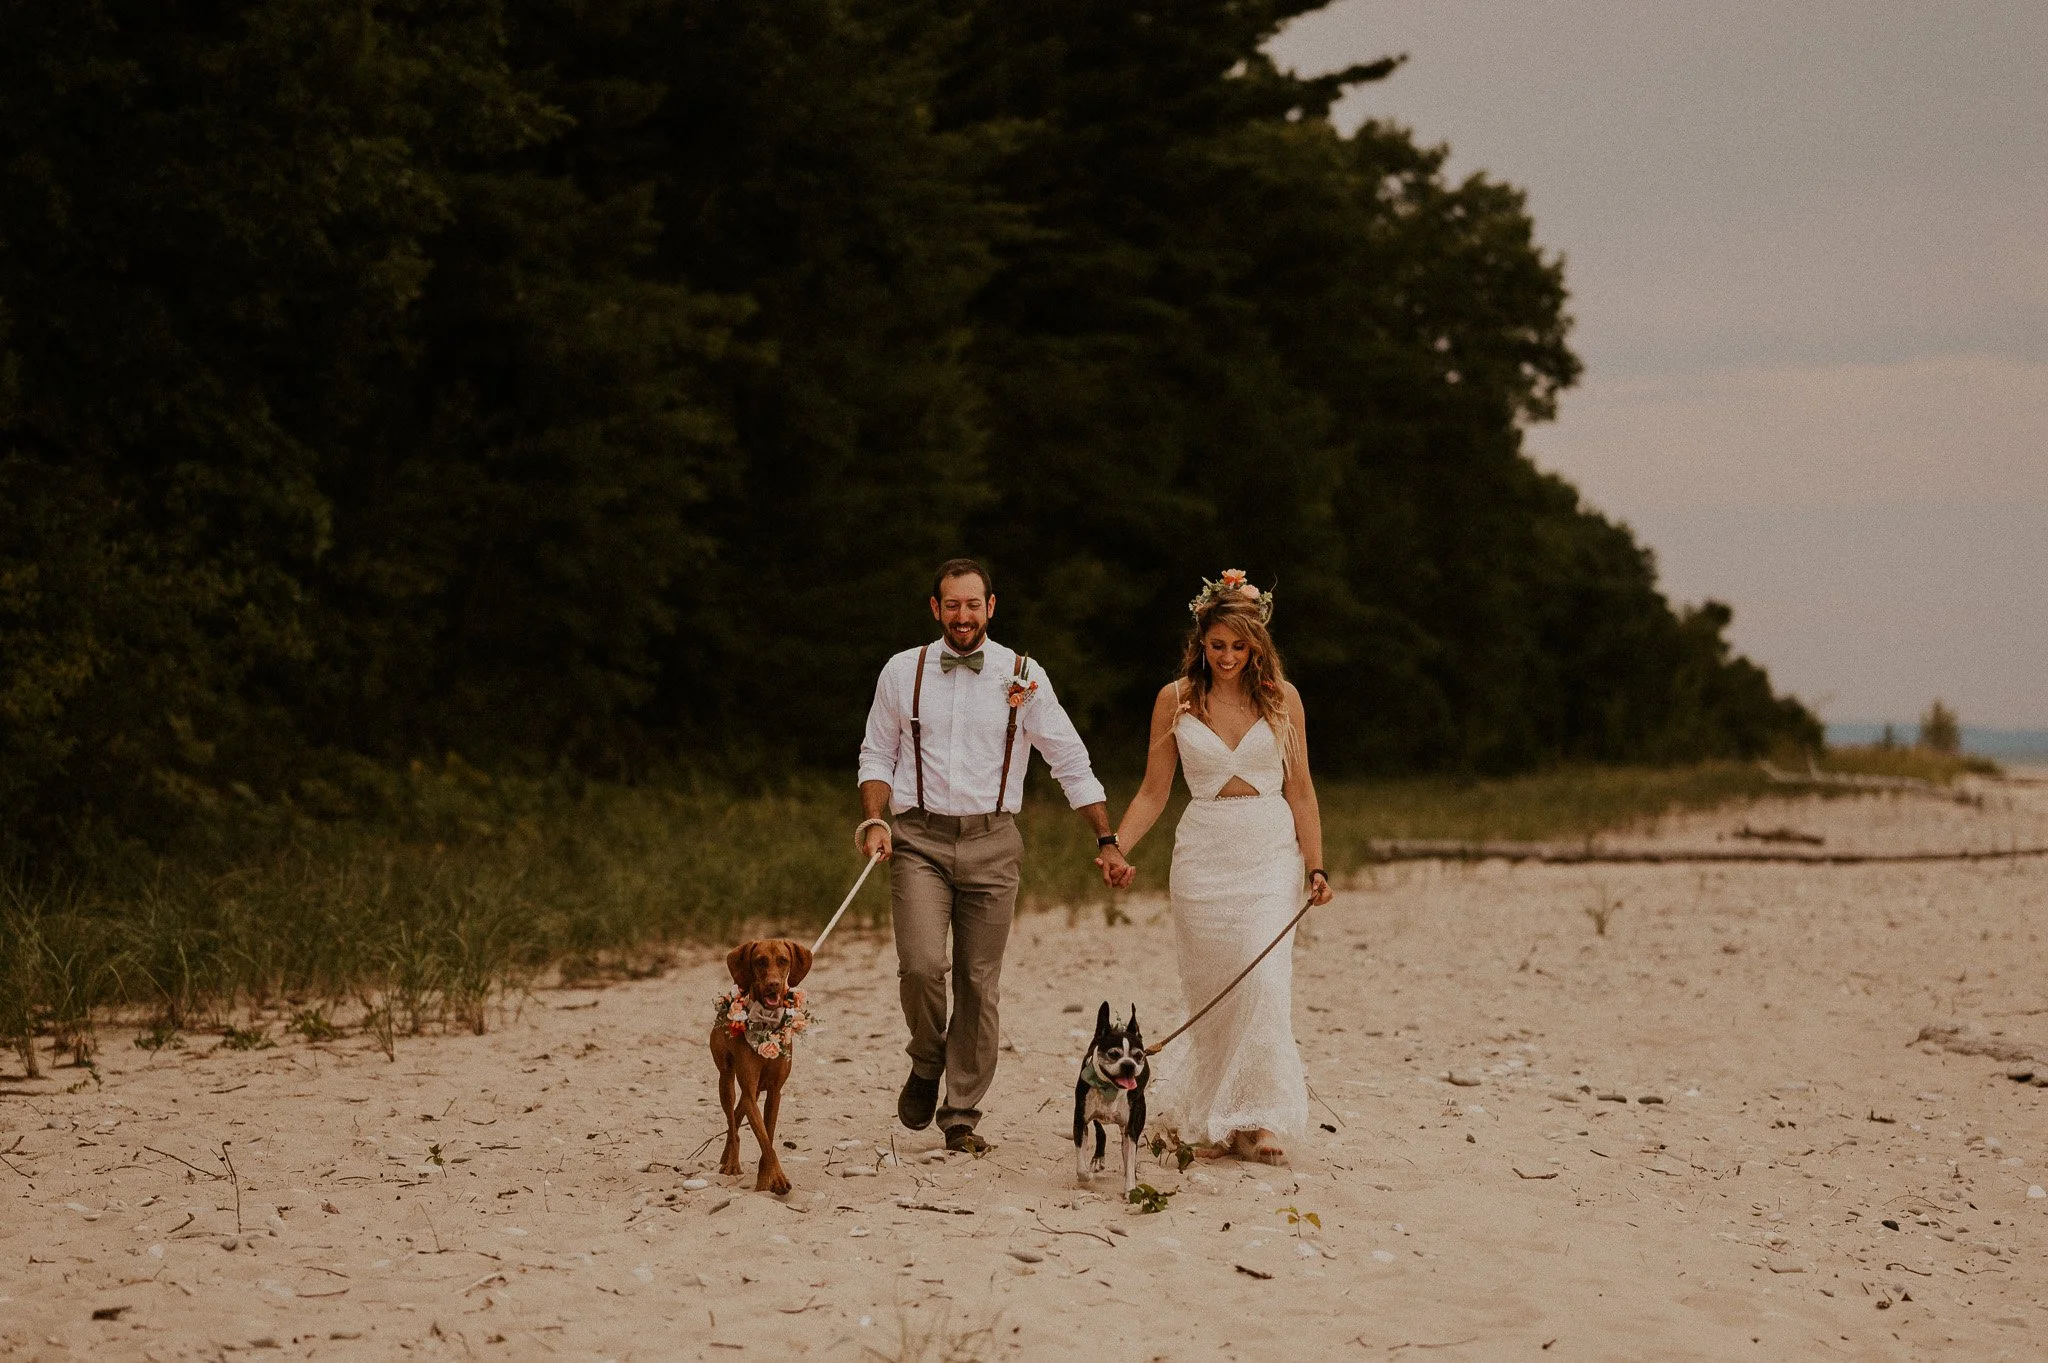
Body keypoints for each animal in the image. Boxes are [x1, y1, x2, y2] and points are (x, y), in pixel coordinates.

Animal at [716, 933, 811, 1186]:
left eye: (783, 960)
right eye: (760, 961)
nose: (773, 984)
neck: (767, 1021)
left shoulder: (774, 1092)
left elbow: (768, 1135)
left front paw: (764, 1180)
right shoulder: (750, 1089)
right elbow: (766, 1142)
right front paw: (777, 1179)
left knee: (736, 1117)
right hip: (726, 1081)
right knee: (732, 1121)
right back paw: (731, 1162)